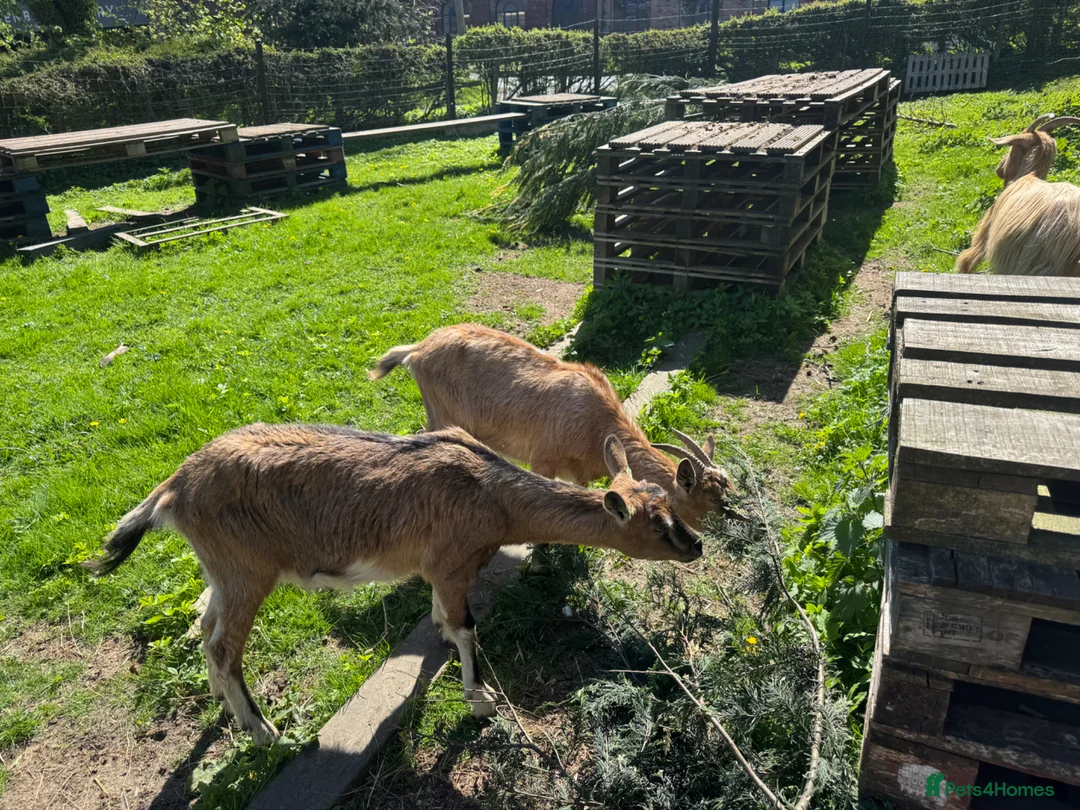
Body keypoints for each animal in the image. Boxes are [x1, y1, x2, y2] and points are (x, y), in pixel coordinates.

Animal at [83, 424, 701, 744]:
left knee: (206, 626)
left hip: (221, 570)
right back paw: (263, 731)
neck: (493, 496)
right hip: (246, 571)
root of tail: (173, 489)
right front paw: (481, 700)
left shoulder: (438, 570)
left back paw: (223, 704)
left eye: (668, 503)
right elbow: (465, 626)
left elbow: (442, 621)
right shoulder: (452, 564)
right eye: (655, 523)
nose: (695, 545)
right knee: (223, 645)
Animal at [369, 324, 735, 533]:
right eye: (711, 499)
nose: (728, 532)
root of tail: (417, 350)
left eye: (728, 488)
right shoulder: (542, 460)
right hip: (442, 411)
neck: (595, 421)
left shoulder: (582, 472)